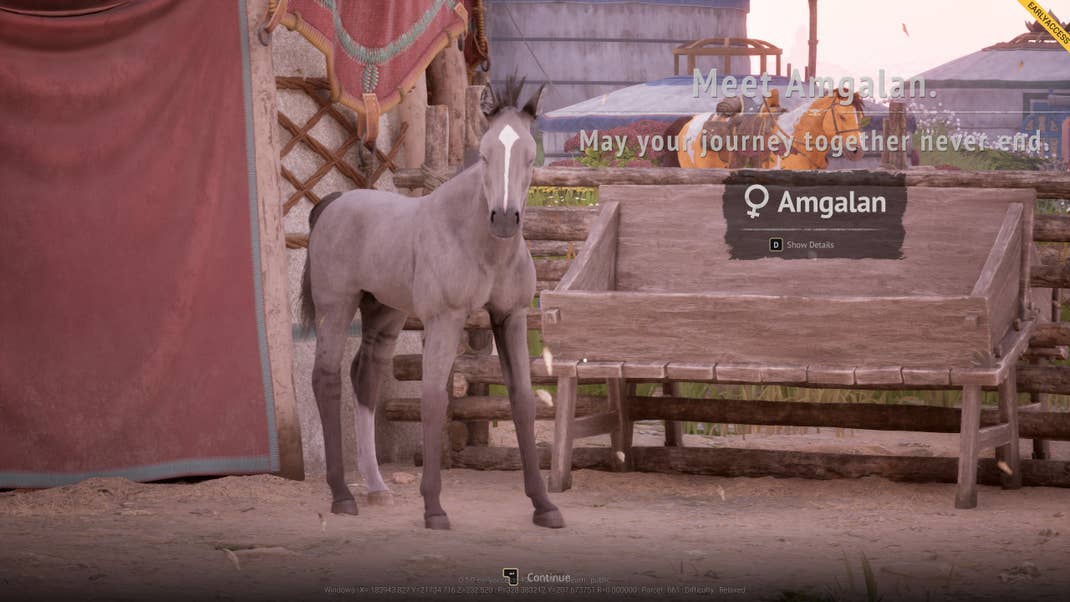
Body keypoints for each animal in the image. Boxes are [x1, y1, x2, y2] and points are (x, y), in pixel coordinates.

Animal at [299, 77, 564, 531]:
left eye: (530, 156)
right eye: (486, 153)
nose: (504, 219)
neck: (478, 242)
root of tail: (332, 206)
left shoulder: (510, 317)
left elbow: (524, 401)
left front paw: (543, 504)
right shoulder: (446, 320)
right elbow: (434, 400)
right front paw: (434, 507)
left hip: (384, 314)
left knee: (364, 377)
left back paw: (376, 487)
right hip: (336, 307)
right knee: (326, 378)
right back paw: (341, 494)